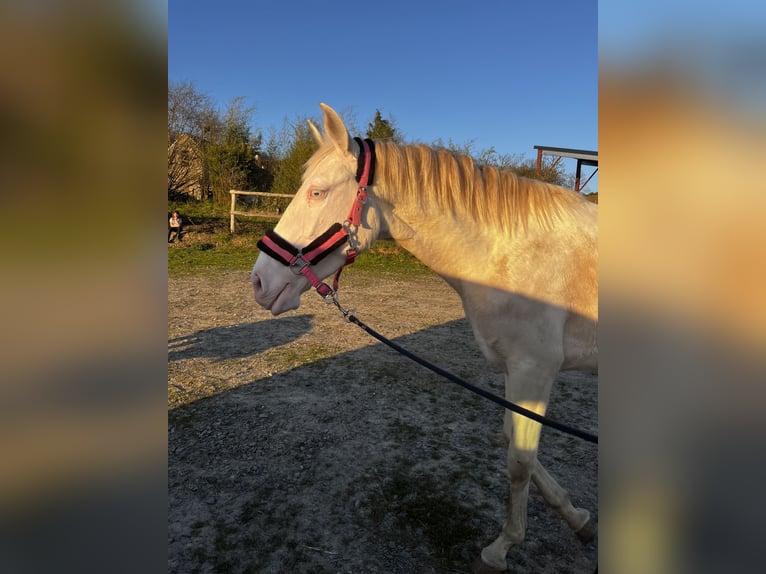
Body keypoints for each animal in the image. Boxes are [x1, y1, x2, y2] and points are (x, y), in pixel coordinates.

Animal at [250, 103, 598, 572]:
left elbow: (520, 461)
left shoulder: (534, 369)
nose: (259, 283)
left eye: (317, 193)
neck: (510, 253)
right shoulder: (516, 374)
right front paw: (577, 518)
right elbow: (513, 441)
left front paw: (502, 546)